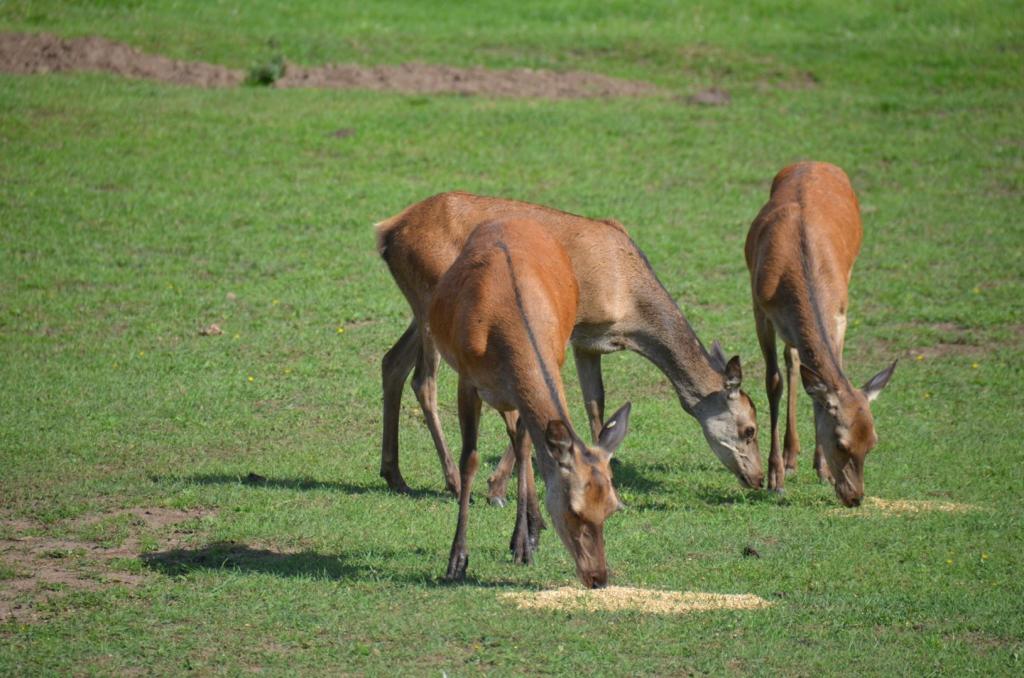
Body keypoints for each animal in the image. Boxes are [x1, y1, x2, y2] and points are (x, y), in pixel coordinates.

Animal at [374, 191, 761, 503]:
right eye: (749, 429)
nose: (758, 479)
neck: (628, 303)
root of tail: (387, 232)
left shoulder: (590, 343)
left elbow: (596, 404)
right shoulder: (567, 330)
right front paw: (497, 488)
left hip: (429, 310)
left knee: (391, 361)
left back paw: (395, 476)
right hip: (431, 295)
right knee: (423, 380)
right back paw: (453, 480)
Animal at [428, 219, 626, 589]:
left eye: (611, 507)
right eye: (573, 509)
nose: (598, 577)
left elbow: (523, 449)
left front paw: (523, 544)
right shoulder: (467, 379)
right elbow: (470, 460)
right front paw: (457, 560)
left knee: (520, 441)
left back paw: (530, 530)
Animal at [745, 161, 897, 507]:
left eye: (873, 441)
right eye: (841, 443)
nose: (855, 497)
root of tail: (811, 162)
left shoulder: (840, 315)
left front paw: (822, 469)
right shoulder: (761, 308)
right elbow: (773, 383)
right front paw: (774, 479)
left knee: (797, 360)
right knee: (792, 362)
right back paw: (788, 459)